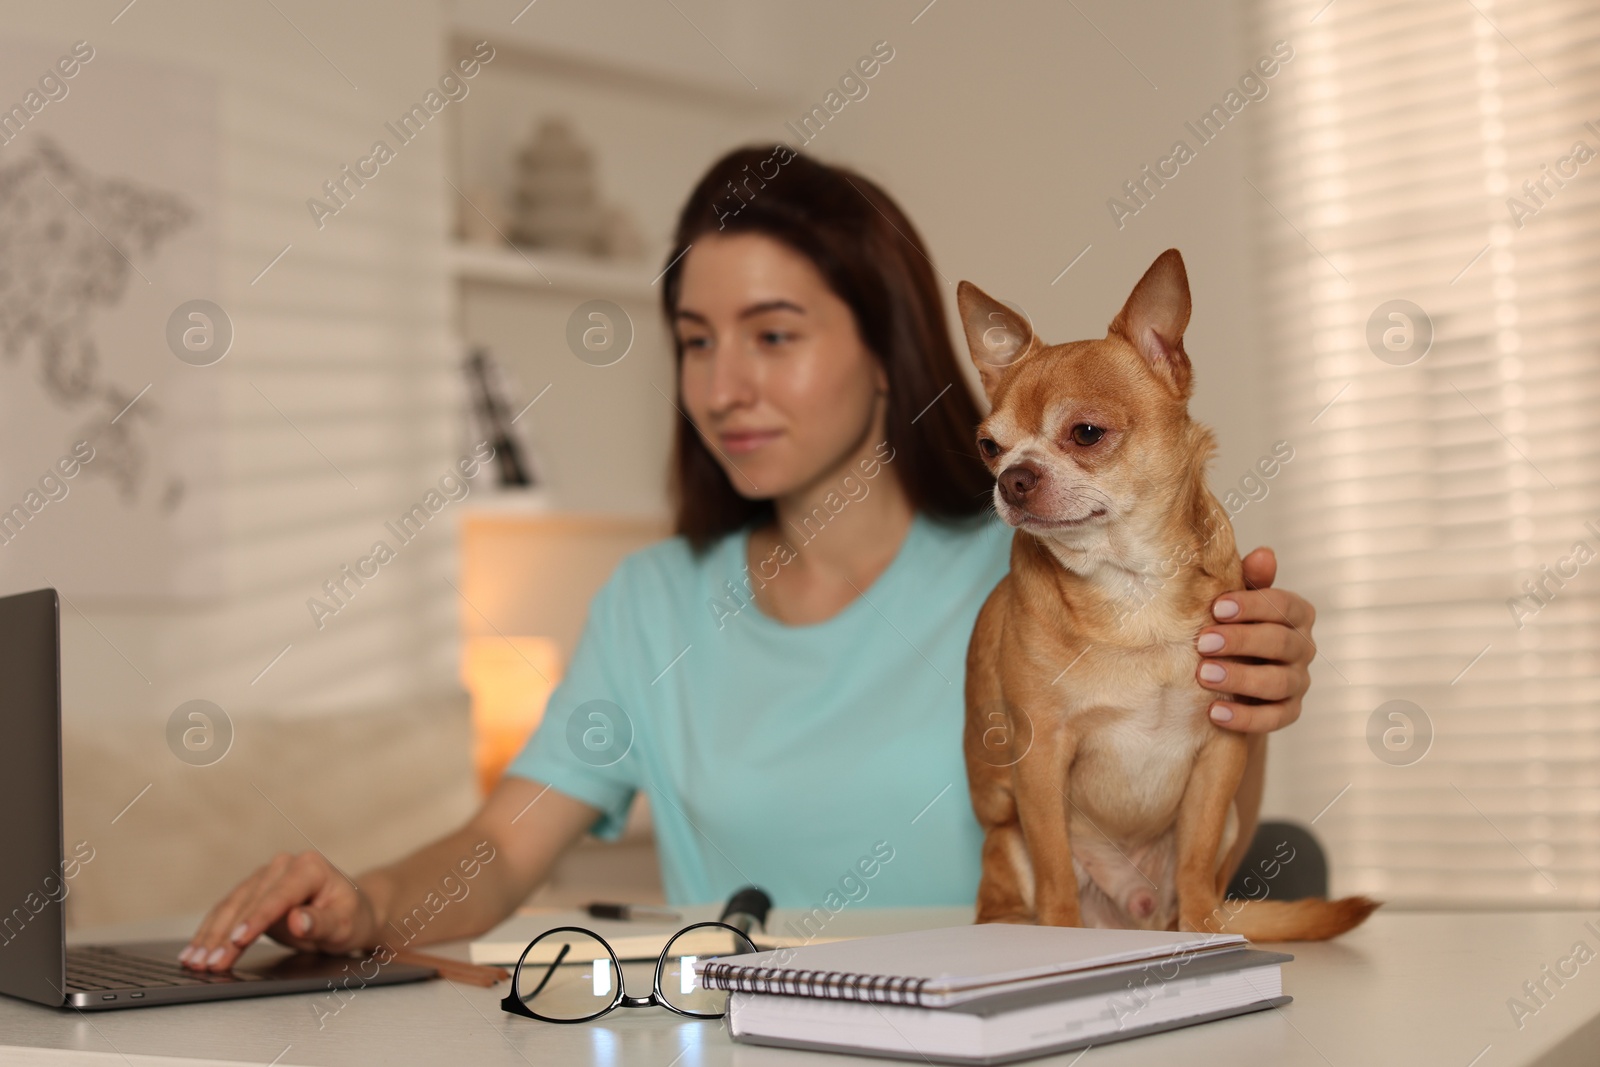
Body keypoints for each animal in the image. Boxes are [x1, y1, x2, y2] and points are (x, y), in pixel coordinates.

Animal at [960, 251, 1376, 940]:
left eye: (1086, 433)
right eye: (988, 447)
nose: (1012, 478)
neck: (1133, 587)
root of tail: (1130, 923)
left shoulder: (1220, 756)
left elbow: (1198, 857)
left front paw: (1208, 933)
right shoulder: (1040, 760)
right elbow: (1053, 864)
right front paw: (1060, 937)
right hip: (1004, 840)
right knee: (1010, 888)